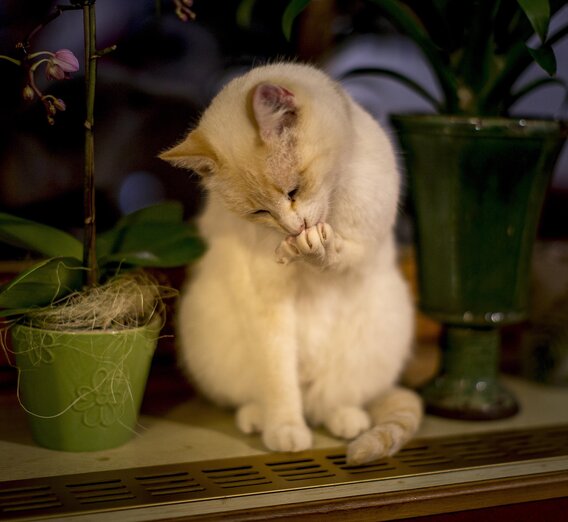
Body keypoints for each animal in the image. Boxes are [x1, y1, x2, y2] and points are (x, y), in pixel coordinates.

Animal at [161, 63, 422, 462]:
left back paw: (346, 418)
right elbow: (278, 378)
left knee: (332, 398)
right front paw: (285, 429)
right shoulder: (268, 303)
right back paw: (259, 418)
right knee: (268, 394)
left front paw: (315, 246)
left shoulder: (365, 244)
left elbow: (339, 253)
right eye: (260, 212)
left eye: (293, 191)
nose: (292, 227)